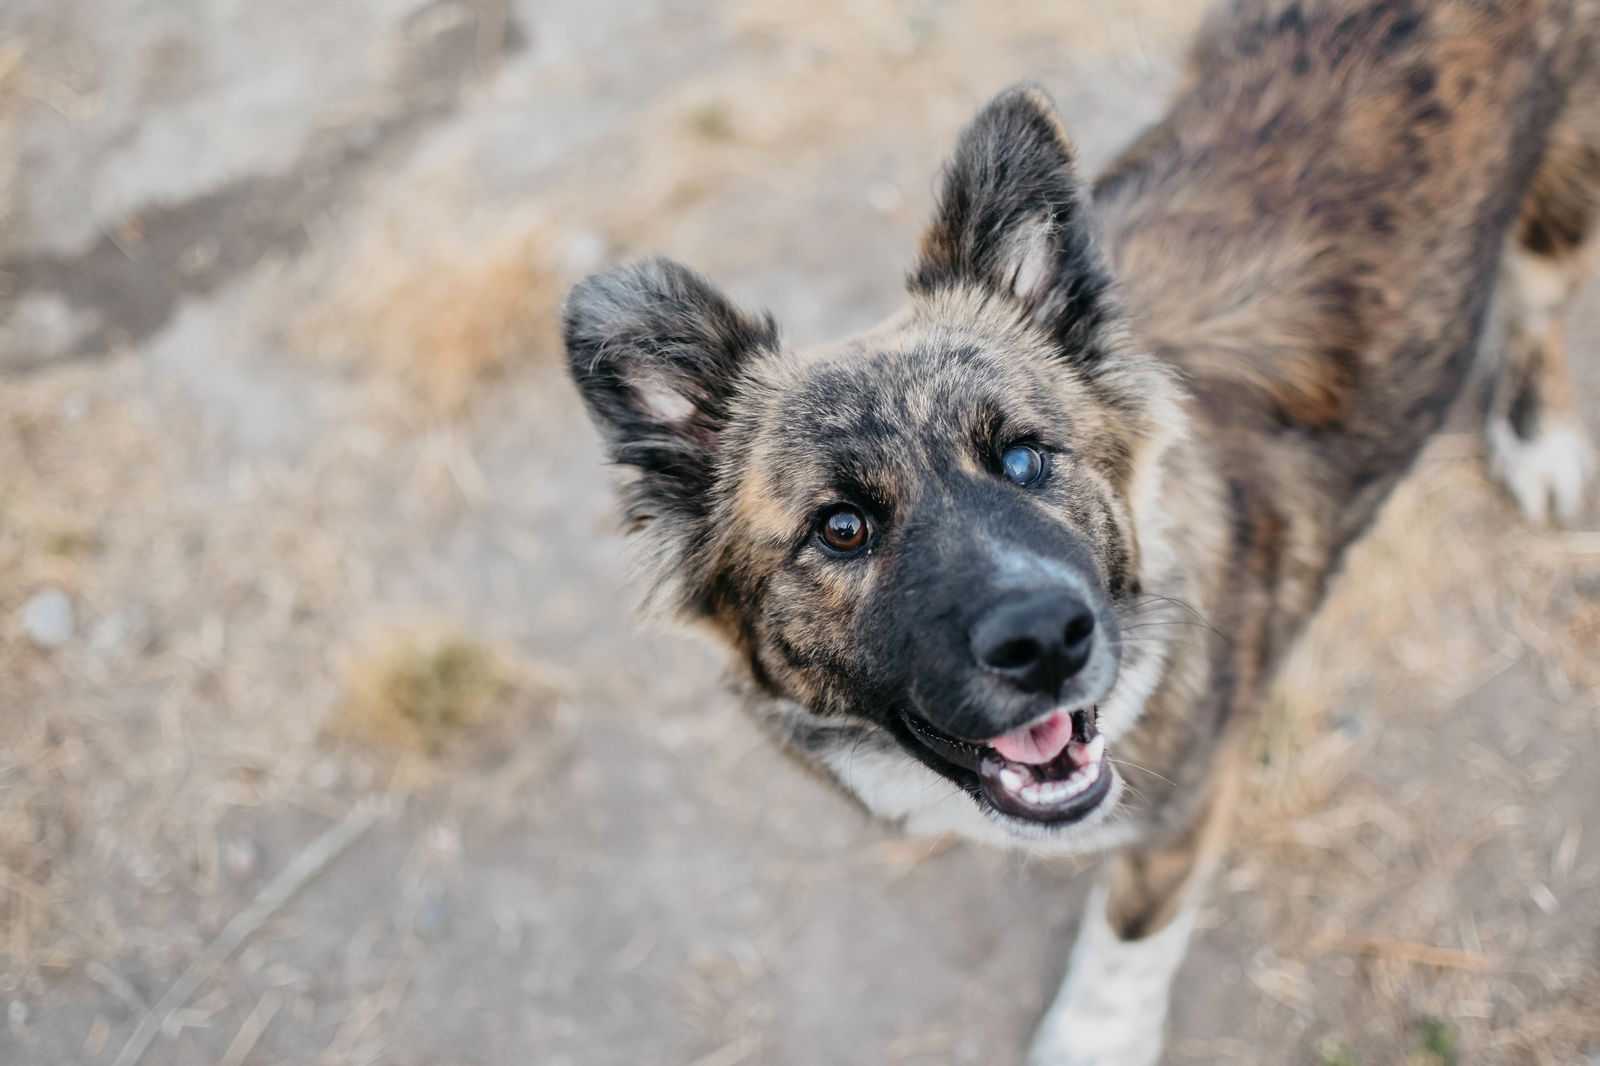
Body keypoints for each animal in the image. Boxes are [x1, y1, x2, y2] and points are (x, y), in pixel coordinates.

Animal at [563, 4, 1600, 1056]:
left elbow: (1133, 924)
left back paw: (1539, 434)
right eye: (841, 527)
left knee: (1537, 304)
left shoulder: (1189, 800)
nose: (1046, 641)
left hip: (1562, 195)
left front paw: (1098, 1035)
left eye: (1025, 457)